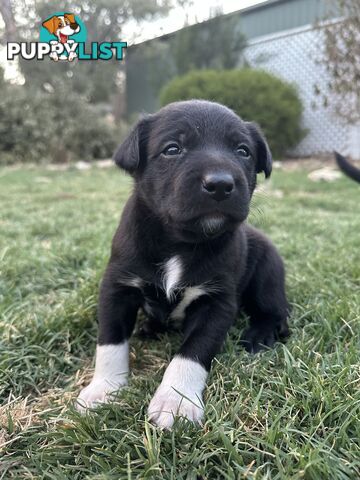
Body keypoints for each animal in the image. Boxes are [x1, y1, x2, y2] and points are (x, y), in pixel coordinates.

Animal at [76, 100, 290, 428]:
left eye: (243, 151)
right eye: (172, 149)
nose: (220, 184)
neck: (180, 241)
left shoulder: (216, 302)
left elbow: (193, 351)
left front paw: (175, 400)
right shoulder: (116, 287)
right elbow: (110, 343)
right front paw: (104, 388)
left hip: (267, 273)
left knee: (276, 311)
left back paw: (259, 336)